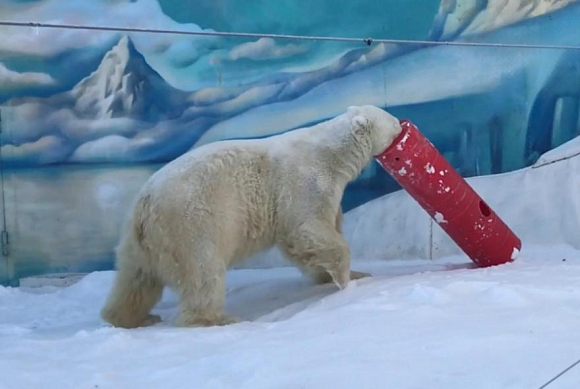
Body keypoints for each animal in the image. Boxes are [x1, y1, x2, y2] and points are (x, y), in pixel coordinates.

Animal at [101, 104, 398, 326]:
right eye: (392, 121)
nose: (402, 123)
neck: (331, 152)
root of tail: (145, 202)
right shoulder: (305, 182)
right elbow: (306, 229)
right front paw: (345, 279)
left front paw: (350, 274)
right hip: (191, 224)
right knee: (202, 272)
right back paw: (217, 319)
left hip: (140, 242)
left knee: (135, 280)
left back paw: (129, 317)